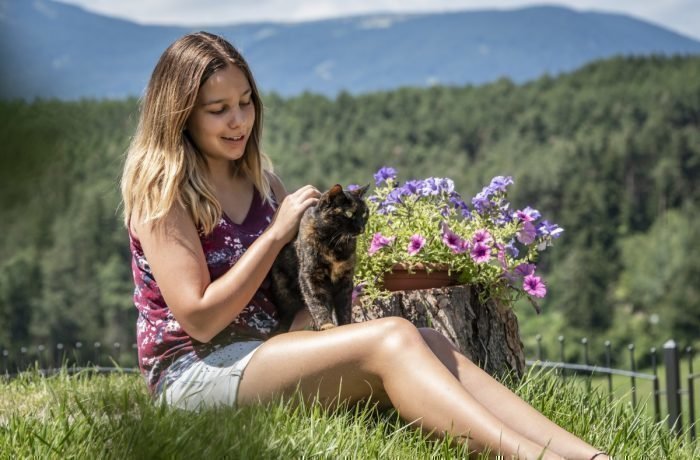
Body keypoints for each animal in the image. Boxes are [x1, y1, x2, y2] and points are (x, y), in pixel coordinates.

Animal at [272, 183, 372, 330]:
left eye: (365, 213)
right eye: (349, 214)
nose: (361, 228)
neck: (333, 243)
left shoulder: (345, 278)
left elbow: (344, 306)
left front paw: (345, 325)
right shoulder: (310, 275)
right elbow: (316, 301)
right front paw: (327, 325)